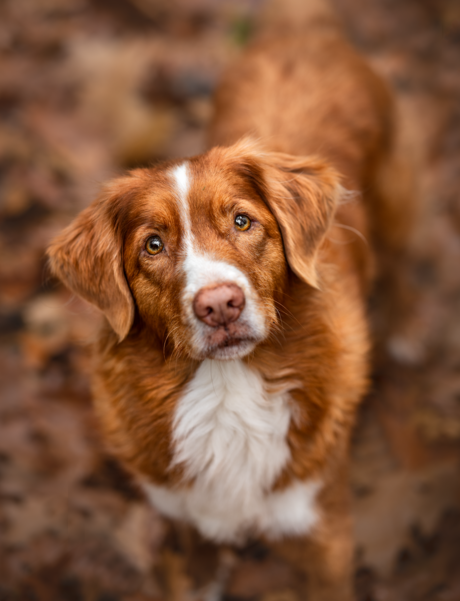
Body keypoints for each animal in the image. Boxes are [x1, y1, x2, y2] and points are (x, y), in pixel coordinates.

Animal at [46, 2, 408, 596]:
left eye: (242, 221)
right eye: (153, 245)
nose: (220, 305)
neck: (228, 392)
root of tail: (302, 29)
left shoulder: (321, 531)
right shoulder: (187, 525)